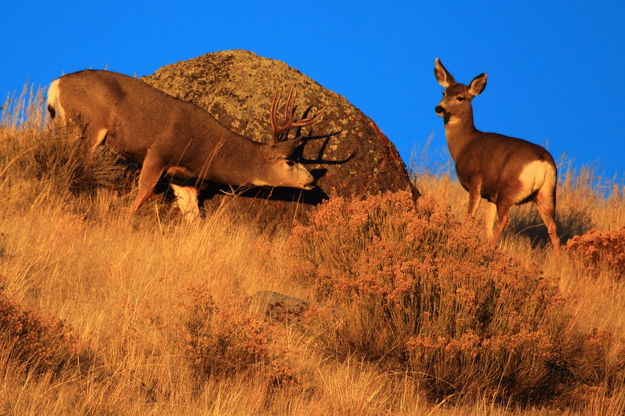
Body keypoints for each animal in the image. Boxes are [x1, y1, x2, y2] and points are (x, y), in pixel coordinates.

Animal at [46, 70, 324, 221]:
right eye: (290, 161)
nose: (312, 180)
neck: (207, 151)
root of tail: (57, 83)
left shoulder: (183, 179)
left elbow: (194, 217)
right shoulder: (159, 152)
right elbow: (143, 192)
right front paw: (127, 220)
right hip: (92, 125)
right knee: (80, 159)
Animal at [434, 57, 560, 250]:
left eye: (460, 97)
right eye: (443, 92)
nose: (439, 109)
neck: (465, 144)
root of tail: (543, 163)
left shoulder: (476, 181)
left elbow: (470, 216)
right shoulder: (491, 195)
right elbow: (487, 224)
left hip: (509, 189)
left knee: (505, 218)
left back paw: (491, 248)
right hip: (546, 193)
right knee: (552, 227)